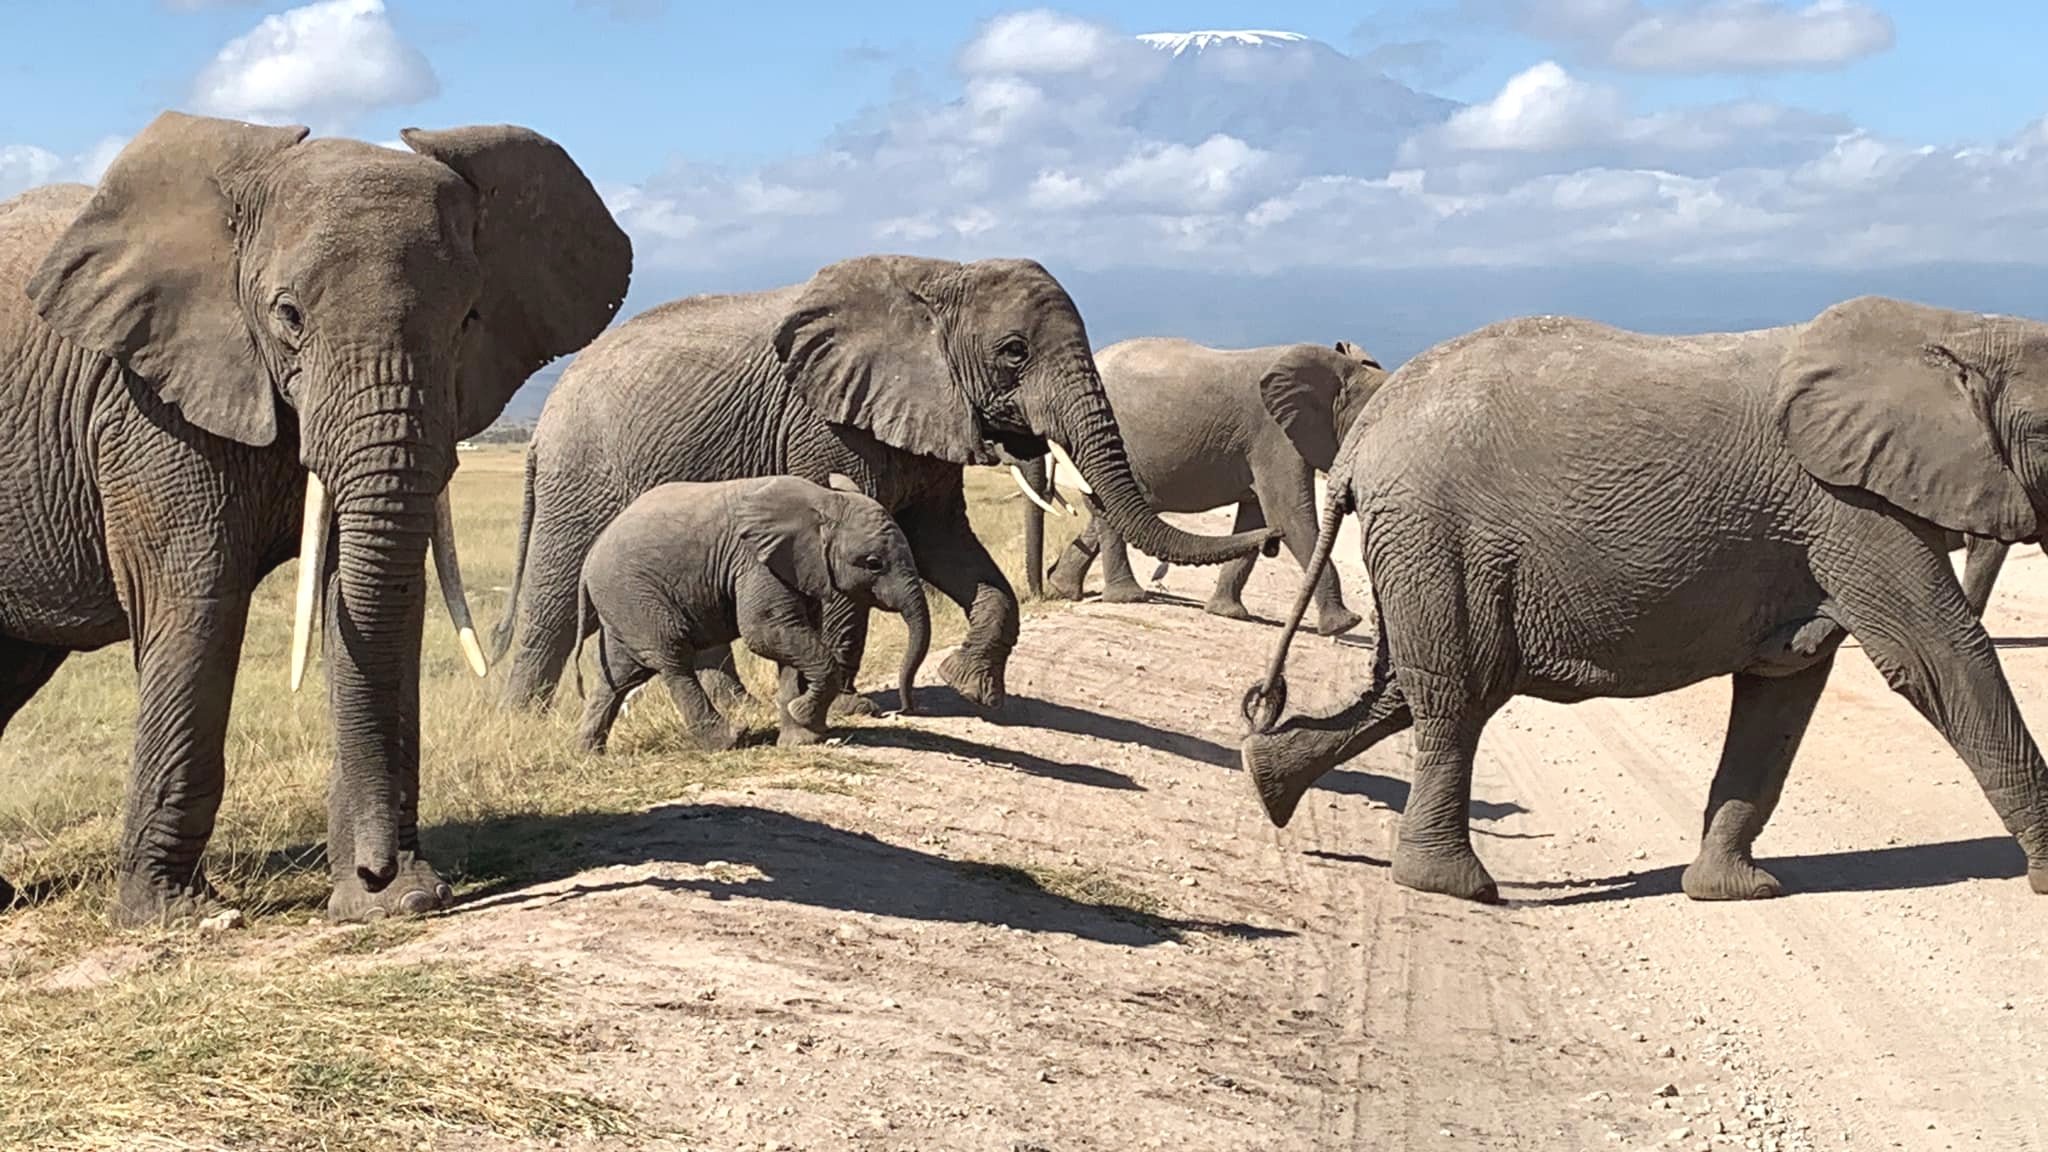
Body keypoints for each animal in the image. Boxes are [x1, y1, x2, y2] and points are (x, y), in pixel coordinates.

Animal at [0, 112, 631, 924]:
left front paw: (392, 898)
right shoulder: (146, 405)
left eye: (468, 319)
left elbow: (371, 602)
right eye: (288, 316)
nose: (383, 877)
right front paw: (178, 915)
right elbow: (198, 602)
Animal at [491, 255, 1279, 715]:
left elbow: (947, 547)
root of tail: (544, 417)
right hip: (582, 475)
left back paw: (738, 712)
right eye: (1013, 352)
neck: (939, 279)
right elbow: (850, 552)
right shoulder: (823, 421)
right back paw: (523, 725)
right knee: (554, 597)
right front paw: (842, 712)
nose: (1272, 538)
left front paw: (971, 686)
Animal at [572, 474, 930, 753]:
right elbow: (764, 632)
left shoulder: (798, 569)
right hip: (634, 594)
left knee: (620, 675)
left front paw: (802, 736)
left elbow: (792, 639)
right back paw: (730, 739)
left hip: (622, 602)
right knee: (671, 657)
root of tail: (588, 564)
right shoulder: (756, 563)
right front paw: (802, 715)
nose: (906, 708)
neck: (824, 500)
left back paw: (588, 755)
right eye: (873, 563)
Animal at [1016, 338, 1387, 636]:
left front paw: (1227, 613)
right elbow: (1290, 514)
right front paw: (1344, 625)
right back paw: (1127, 597)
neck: (1344, 369)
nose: (1272, 545)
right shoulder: (1274, 436)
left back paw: (1063, 587)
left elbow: (1255, 515)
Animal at [1239, 297, 2048, 906]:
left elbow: (1783, 695)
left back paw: (1266, 780)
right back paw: (1453, 886)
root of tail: (1358, 448)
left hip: (1421, 548)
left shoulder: (1826, 520)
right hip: (1437, 537)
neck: (1956, 328)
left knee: (1411, 686)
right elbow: (1940, 658)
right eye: (2046, 432)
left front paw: (1734, 892)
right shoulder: (1850, 508)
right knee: (1455, 691)